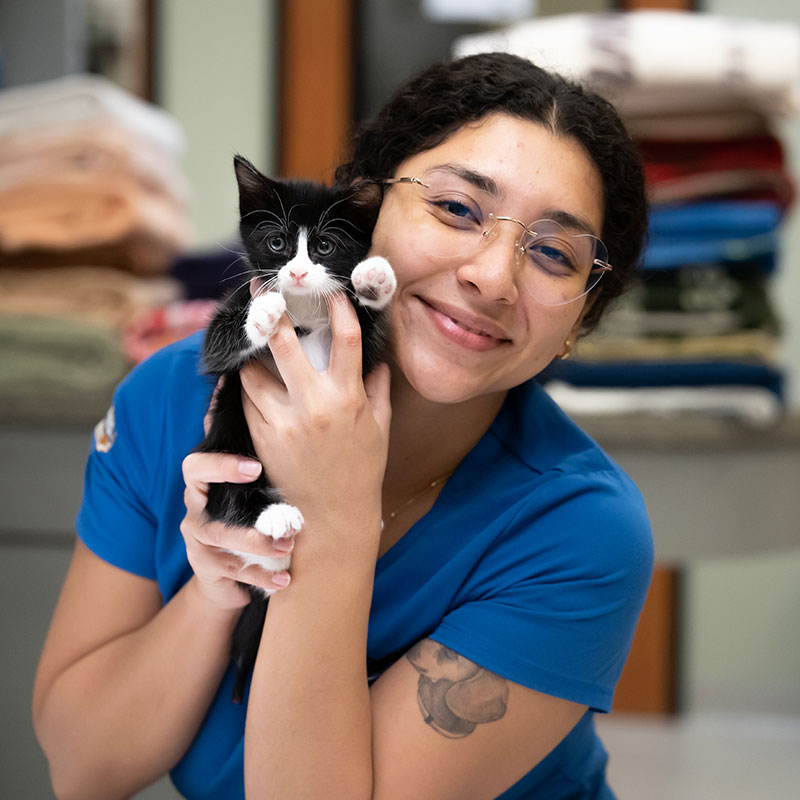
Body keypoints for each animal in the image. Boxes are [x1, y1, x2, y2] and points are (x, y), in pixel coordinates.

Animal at [197, 155, 396, 702]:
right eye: (278, 242)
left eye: (325, 246)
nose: (300, 271)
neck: (305, 311)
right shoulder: (220, 347)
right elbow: (217, 342)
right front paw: (265, 308)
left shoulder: (365, 354)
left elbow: (372, 329)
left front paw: (374, 278)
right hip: (228, 437)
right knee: (223, 498)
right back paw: (274, 525)